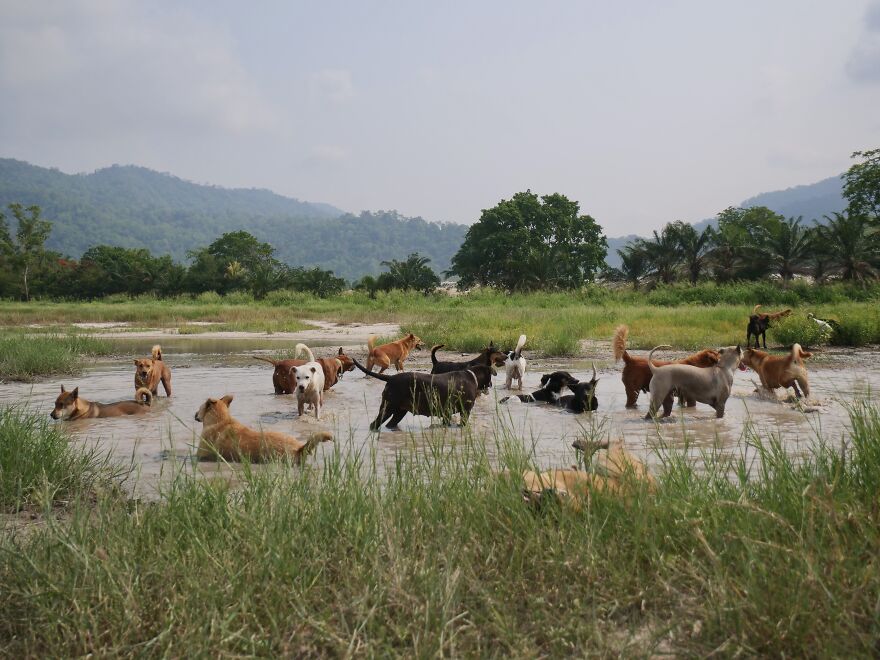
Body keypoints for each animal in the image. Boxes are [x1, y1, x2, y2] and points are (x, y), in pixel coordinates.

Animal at [354, 358, 498, 430]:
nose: (491, 385)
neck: (472, 376)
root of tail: (391, 378)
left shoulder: (446, 414)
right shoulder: (465, 411)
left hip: (399, 411)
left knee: (390, 424)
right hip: (388, 408)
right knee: (375, 424)